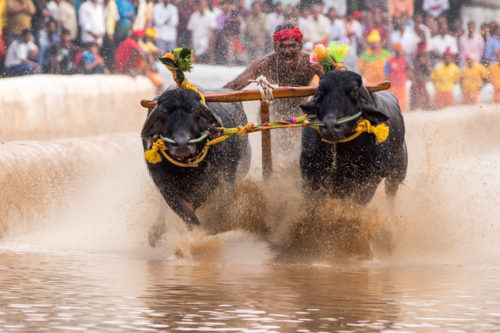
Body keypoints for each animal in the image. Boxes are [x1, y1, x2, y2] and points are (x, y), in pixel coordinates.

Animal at [141, 88, 250, 244]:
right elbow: (188, 216)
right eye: (163, 115)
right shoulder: (166, 188)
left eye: (196, 113)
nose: (182, 144)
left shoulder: (214, 182)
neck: (186, 169)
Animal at [298, 70, 408, 204]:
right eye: (320, 90)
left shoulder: (368, 183)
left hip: (398, 172)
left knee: (391, 195)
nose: (330, 126)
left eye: (354, 91)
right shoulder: (311, 178)